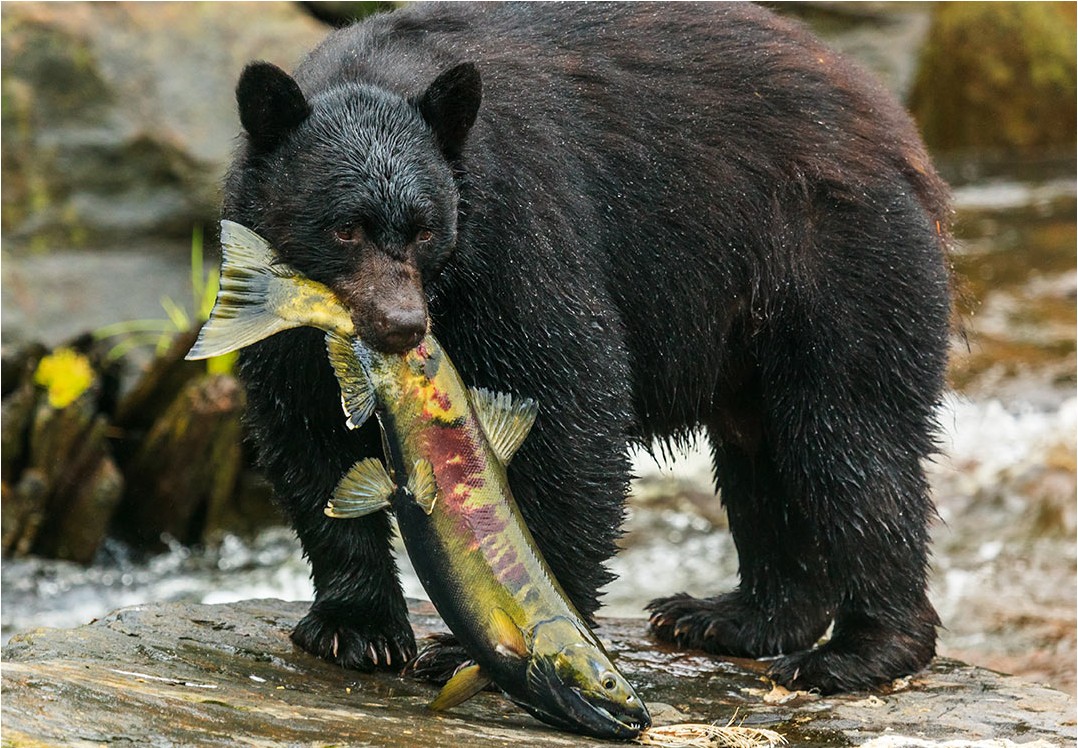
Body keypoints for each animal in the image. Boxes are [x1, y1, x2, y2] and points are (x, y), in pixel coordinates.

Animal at [225, 1, 952, 698]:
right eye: (345, 228)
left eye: (427, 230)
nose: (402, 325)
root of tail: (900, 130)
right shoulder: (273, 286)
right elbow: (305, 428)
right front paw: (357, 629)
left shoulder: (515, 227)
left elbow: (568, 399)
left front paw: (503, 632)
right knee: (761, 454)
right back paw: (733, 617)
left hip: (836, 264)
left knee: (850, 440)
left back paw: (858, 650)